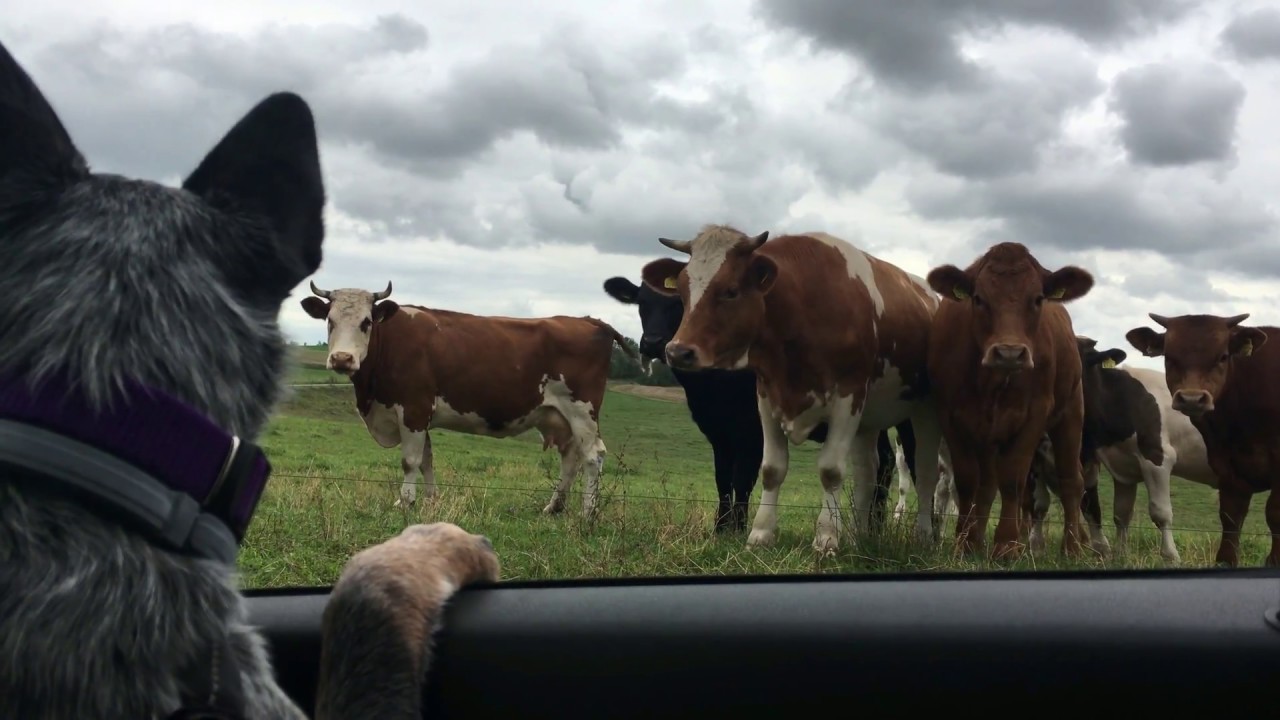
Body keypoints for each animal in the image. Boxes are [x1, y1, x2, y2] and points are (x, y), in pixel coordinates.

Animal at [300, 281, 637, 517]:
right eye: (329, 321)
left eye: (366, 322)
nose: (342, 359)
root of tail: (589, 321)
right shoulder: (420, 415)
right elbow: (427, 460)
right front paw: (430, 502)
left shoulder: (413, 409)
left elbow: (410, 461)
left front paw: (405, 502)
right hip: (559, 416)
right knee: (570, 457)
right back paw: (553, 508)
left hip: (582, 410)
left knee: (593, 456)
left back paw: (587, 513)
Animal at [603, 273, 921, 534]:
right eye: (641, 303)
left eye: (679, 303)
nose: (653, 342)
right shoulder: (718, 432)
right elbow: (722, 479)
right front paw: (720, 528)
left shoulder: (751, 430)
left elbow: (742, 479)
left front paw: (737, 529)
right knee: (884, 461)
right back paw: (873, 527)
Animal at [641, 225, 948, 555]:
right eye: (683, 291)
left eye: (731, 290)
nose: (678, 351)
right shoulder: (767, 396)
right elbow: (772, 469)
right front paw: (760, 534)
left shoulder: (848, 397)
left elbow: (830, 470)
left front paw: (826, 538)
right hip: (870, 420)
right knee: (869, 470)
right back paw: (858, 536)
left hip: (923, 412)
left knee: (925, 471)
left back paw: (924, 536)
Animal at [925, 241, 1094, 560]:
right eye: (978, 298)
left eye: (1038, 298)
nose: (1009, 353)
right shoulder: (950, 415)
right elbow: (969, 482)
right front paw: (964, 543)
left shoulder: (1034, 414)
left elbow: (1013, 479)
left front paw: (1006, 545)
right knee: (987, 485)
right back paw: (977, 540)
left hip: (1071, 412)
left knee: (1071, 480)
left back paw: (1074, 547)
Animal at [1125, 312, 1279, 567]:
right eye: (1169, 357)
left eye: (1223, 356)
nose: (1192, 398)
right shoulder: (1228, 468)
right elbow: (1231, 517)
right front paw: (1225, 561)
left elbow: (1274, 514)